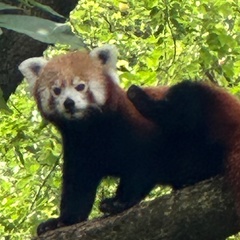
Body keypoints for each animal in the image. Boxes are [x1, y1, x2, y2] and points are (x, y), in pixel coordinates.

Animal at [18, 46, 225, 235]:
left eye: (80, 86)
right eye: (56, 90)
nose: (69, 103)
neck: (91, 128)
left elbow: (142, 168)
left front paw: (119, 202)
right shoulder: (79, 149)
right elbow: (78, 187)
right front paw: (63, 221)